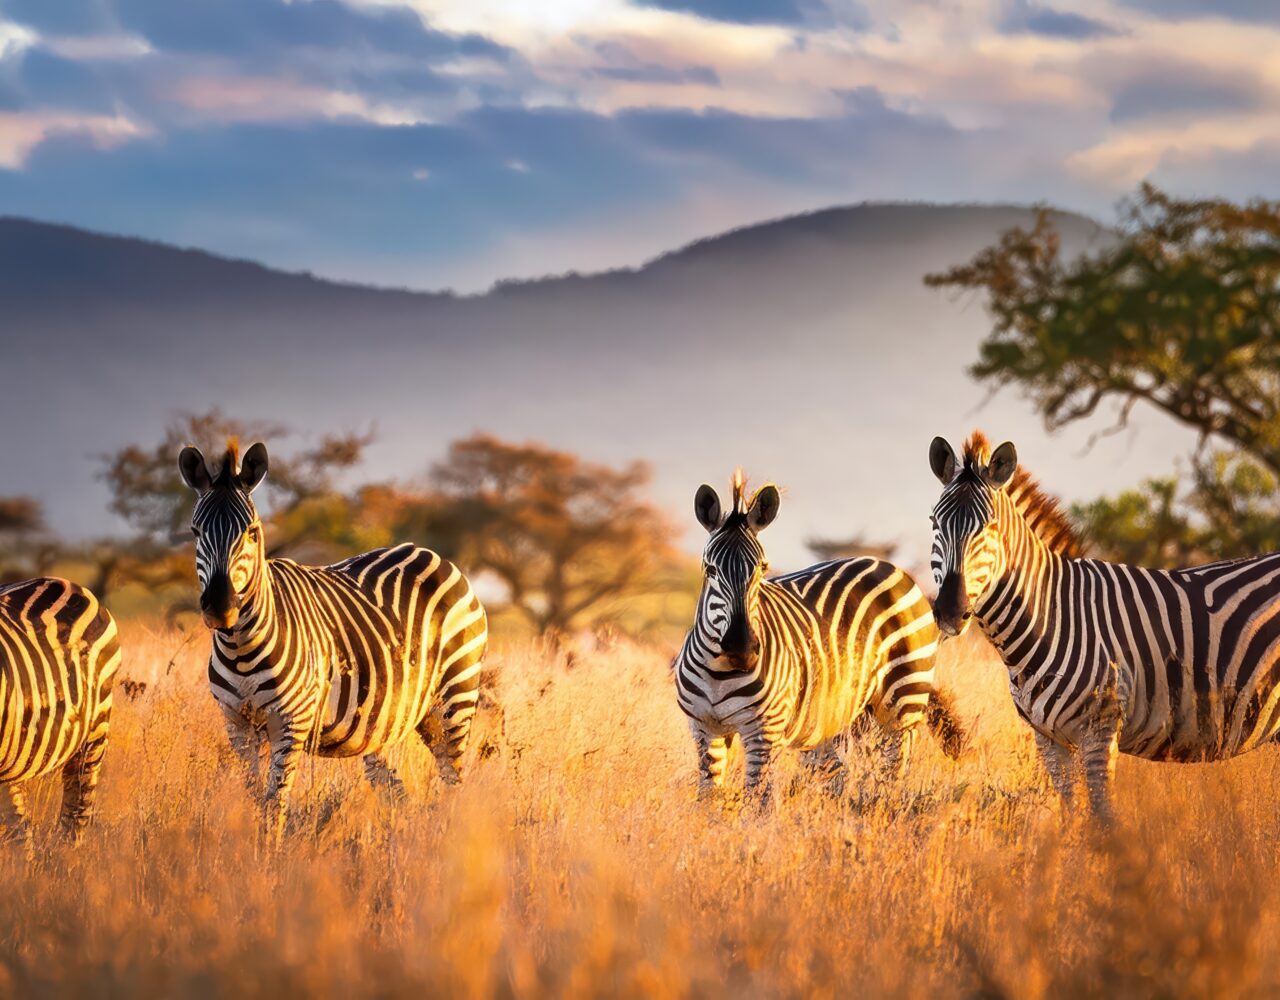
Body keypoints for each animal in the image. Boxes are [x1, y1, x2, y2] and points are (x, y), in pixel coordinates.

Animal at [178, 441, 487, 837]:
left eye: (252, 532)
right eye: (194, 531)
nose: (220, 607)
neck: (240, 647)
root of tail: (432, 554)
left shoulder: (289, 724)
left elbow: (274, 805)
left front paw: (269, 855)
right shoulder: (237, 726)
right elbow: (256, 800)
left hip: (455, 697)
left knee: (454, 779)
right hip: (385, 719)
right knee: (396, 790)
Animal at [674, 472, 965, 802]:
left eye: (762, 568)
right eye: (710, 569)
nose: (741, 649)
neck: (719, 673)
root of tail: (890, 567)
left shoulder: (762, 732)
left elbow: (758, 800)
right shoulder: (703, 730)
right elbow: (708, 799)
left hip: (903, 699)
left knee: (893, 769)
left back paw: (884, 805)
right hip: (832, 715)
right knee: (839, 776)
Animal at [929, 430, 1280, 824]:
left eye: (989, 528)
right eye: (934, 524)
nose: (950, 611)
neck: (1050, 615)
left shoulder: (1100, 730)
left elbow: (1104, 820)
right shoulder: (1048, 740)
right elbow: (1071, 818)